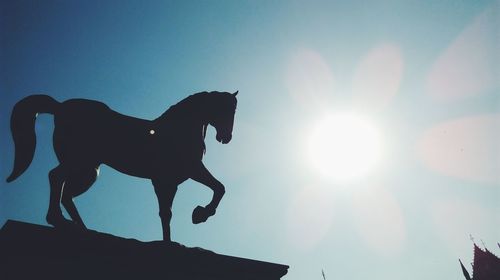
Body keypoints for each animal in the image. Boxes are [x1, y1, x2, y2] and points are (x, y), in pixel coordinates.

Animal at [5, 91, 236, 241]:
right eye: (225, 109)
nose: (226, 138)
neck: (178, 130)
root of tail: (60, 107)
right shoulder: (190, 170)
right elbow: (219, 187)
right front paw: (200, 214)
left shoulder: (168, 183)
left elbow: (166, 214)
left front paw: (170, 242)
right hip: (78, 163)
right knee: (55, 177)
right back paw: (60, 221)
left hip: (89, 171)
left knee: (67, 194)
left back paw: (83, 229)